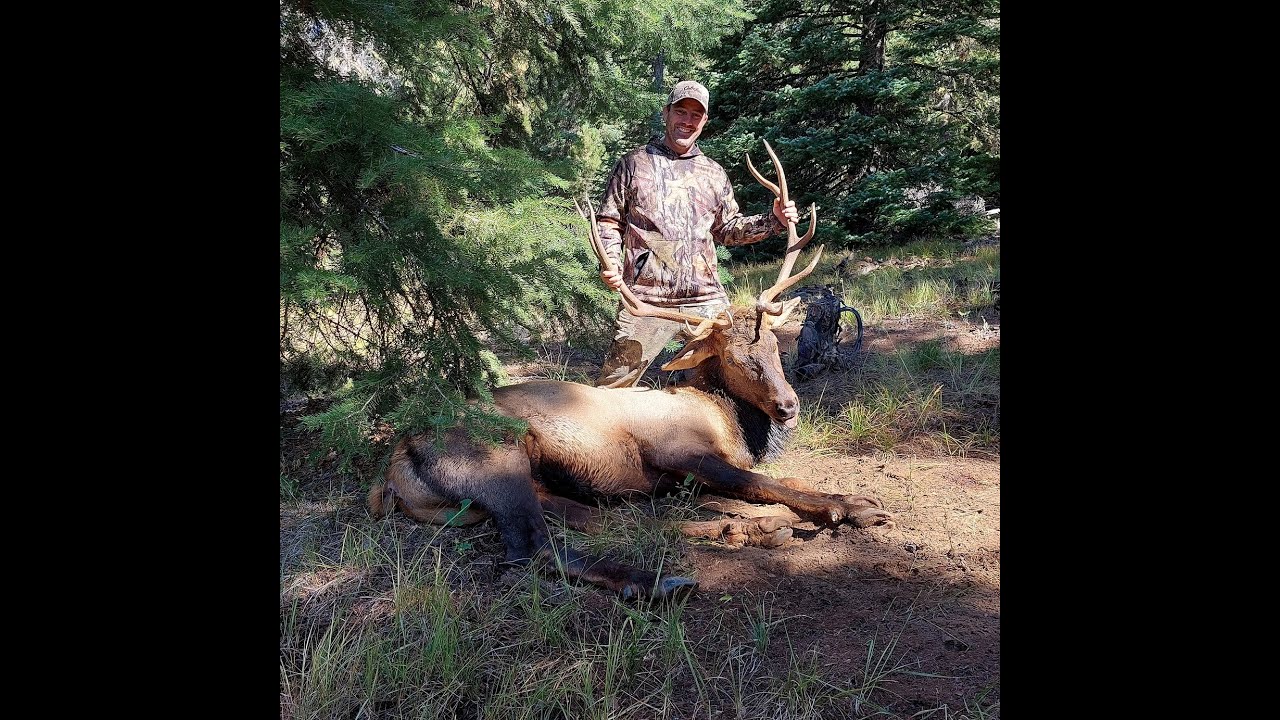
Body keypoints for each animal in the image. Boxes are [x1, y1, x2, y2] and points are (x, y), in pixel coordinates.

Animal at [368, 140, 893, 600]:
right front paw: (848, 507)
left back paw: (743, 530)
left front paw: (841, 505)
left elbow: (784, 483)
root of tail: (394, 466)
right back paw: (659, 579)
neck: (731, 425)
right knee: (533, 547)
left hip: (527, 483)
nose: (788, 406)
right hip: (495, 460)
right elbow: (767, 484)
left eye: (773, 347)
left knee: (600, 519)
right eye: (733, 357)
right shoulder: (681, 453)